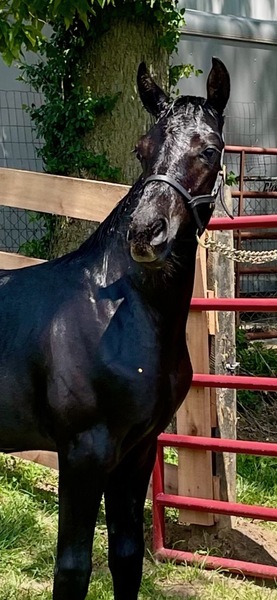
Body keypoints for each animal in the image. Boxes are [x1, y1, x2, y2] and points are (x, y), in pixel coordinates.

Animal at [0, 59, 229, 600]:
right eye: (142, 149)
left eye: (209, 149)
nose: (146, 232)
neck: (120, 318)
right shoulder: (83, 454)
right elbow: (72, 568)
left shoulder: (137, 451)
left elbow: (126, 555)